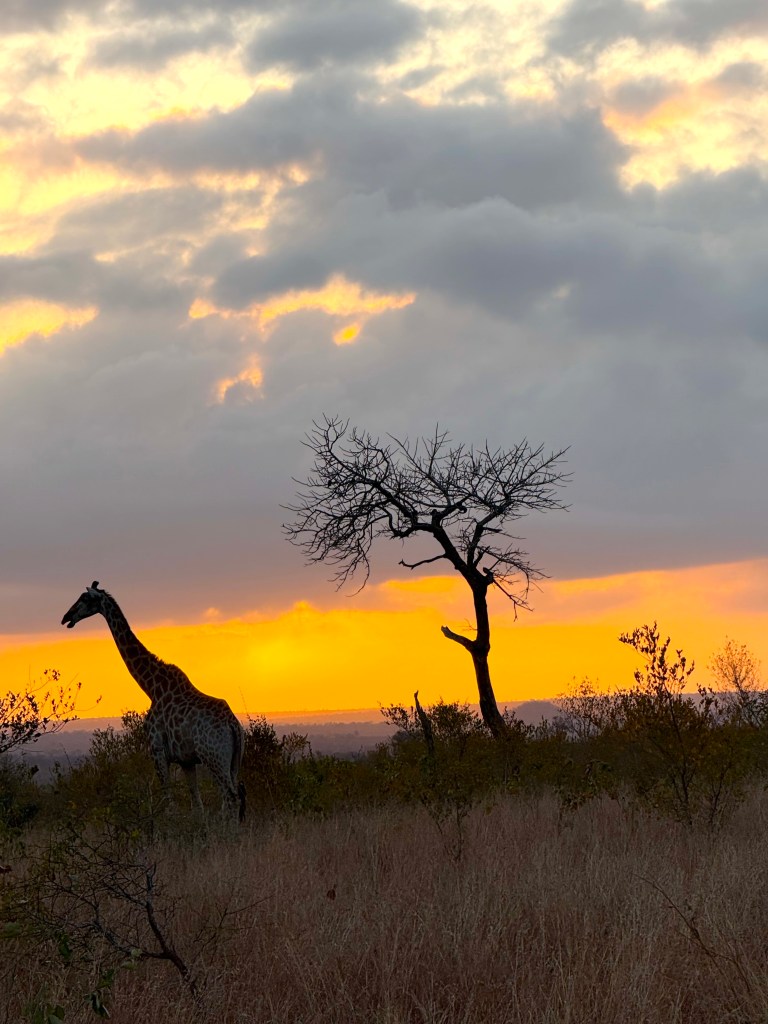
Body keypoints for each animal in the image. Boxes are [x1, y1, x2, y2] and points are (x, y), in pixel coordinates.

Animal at [61, 582, 246, 822]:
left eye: (84, 598)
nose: (66, 617)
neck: (152, 687)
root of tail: (233, 725)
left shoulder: (157, 751)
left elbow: (169, 804)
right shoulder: (186, 760)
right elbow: (197, 805)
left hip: (213, 757)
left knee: (230, 798)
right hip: (233, 761)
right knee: (233, 797)